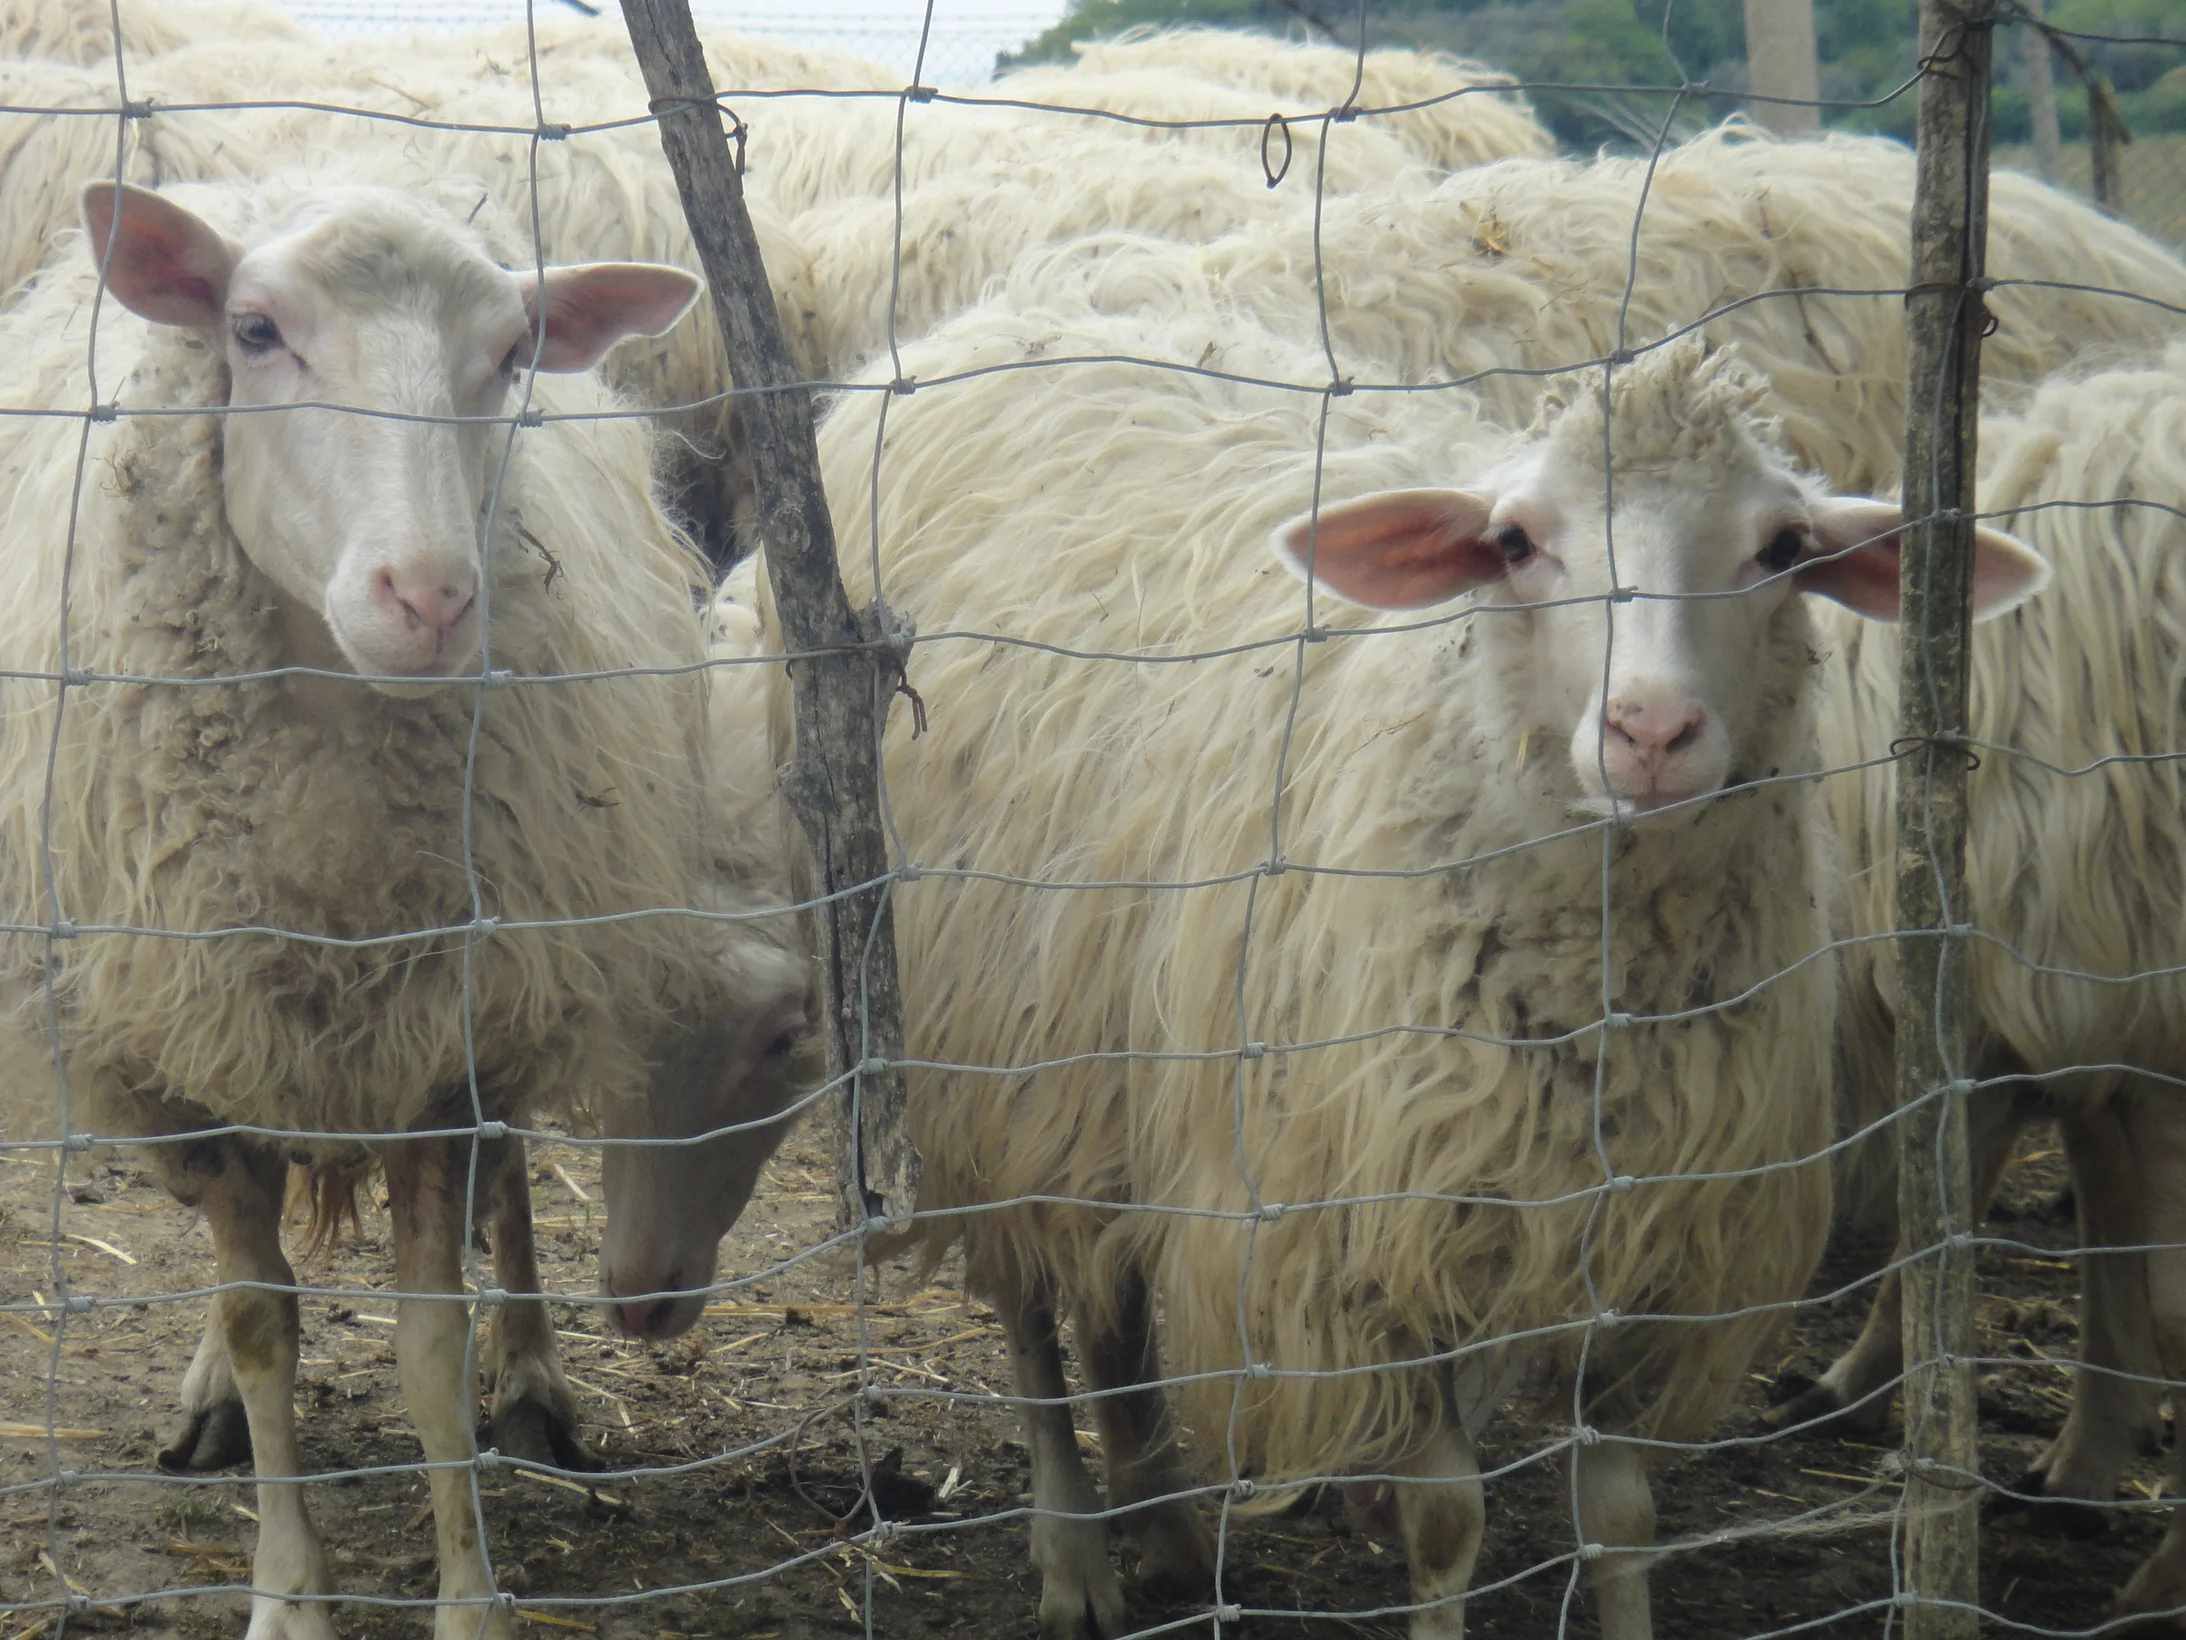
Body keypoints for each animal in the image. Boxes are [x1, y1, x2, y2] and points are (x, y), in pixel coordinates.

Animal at [0, 173, 786, 1635]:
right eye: (253, 331)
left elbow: (428, 1341)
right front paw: (288, 1591)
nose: (427, 598)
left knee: (515, 1188)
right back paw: (210, 1403)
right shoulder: (198, 1038)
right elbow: (262, 1322)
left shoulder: (447, 1042)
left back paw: (531, 1380)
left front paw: (471, 1595)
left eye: (513, 350)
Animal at [699, 288, 2046, 1635]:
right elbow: (1447, 1518)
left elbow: (1617, 1513)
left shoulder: (1652, 1241)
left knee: (1117, 1308)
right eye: (1515, 542)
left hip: (1106, 1049)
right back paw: (1077, 1554)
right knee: (1032, 1313)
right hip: (966, 1043)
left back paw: (1169, 1532)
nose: (1651, 731)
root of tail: (1004, 314)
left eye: (1780, 547)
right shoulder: (1362, 1247)